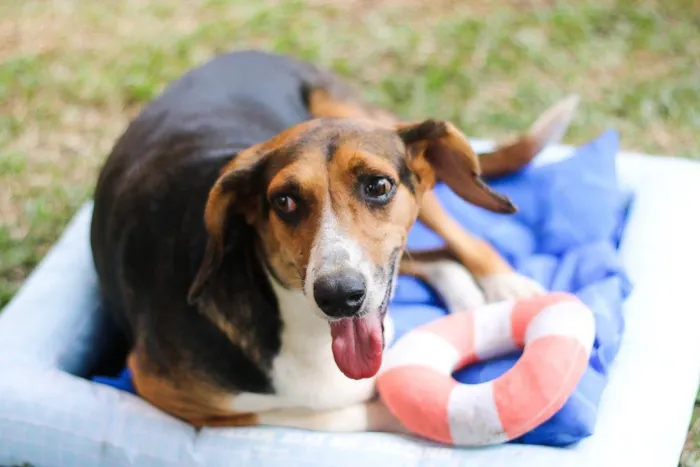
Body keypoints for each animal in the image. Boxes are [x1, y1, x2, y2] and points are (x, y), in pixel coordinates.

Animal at [90, 50, 576, 436]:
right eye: (284, 201)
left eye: (377, 185)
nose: (340, 296)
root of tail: (245, 53)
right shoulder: (163, 390)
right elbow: (326, 413)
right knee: (437, 258)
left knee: (464, 241)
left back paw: (504, 286)